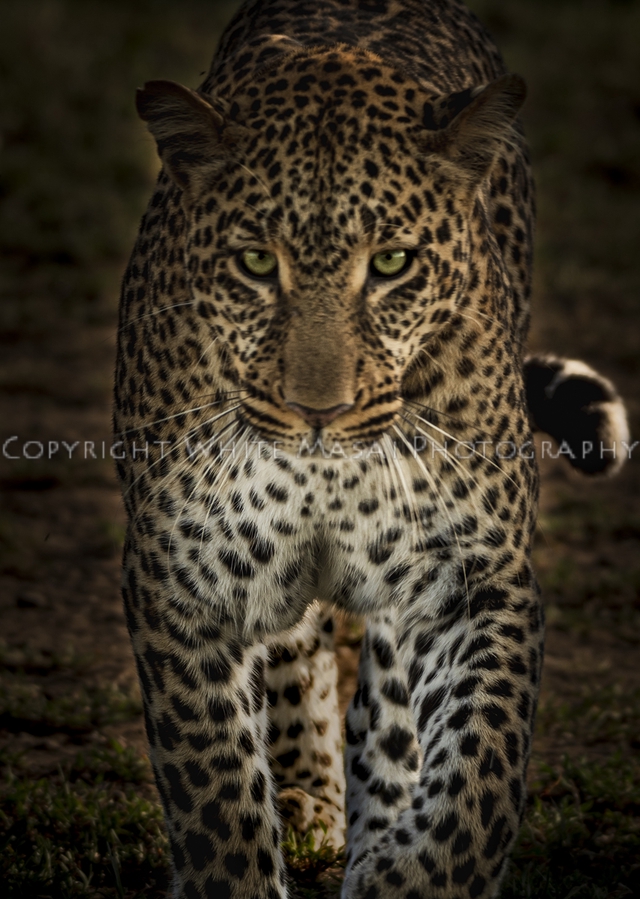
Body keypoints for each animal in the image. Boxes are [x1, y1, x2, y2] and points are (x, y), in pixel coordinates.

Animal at [113, 1, 629, 897]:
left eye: (392, 263)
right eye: (256, 262)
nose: (319, 410)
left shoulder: (476, 576)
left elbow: (478, 778)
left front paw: (411, 869)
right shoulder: (180, 581)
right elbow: (215, 793)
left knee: (386, 705)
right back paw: (305, 798)